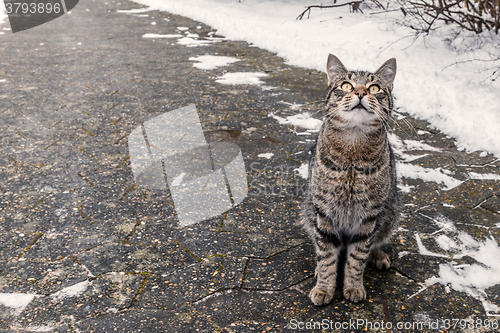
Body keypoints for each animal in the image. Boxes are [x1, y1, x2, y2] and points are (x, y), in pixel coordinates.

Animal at [300, 53, 398, 304]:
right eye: (346, 85)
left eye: (374, 88)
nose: (361, 92)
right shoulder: (324, 213)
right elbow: (326, 257)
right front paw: (324, 287)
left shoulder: (369, 217)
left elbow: (357, 258)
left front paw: (353, 286)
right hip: (309, 210)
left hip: (390, 214)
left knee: (375, 242)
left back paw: (378, 256)